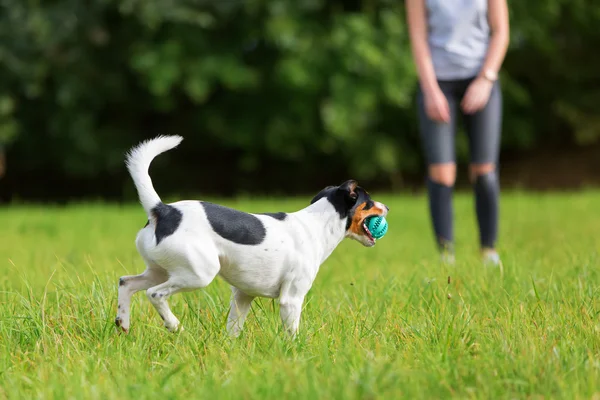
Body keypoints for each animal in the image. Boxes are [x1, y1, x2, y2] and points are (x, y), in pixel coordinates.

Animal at [115, 136, 390, 336]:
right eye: (368, 201)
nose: (387, 207)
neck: (317, 223)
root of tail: (163, 210)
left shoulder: (242, 295)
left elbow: (233, 329)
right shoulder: (291, 299)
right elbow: (292, 333)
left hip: (160, 271)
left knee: (126, 283)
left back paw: (123, 324)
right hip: (198, 273)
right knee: (154, 294)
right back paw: (174, 325)